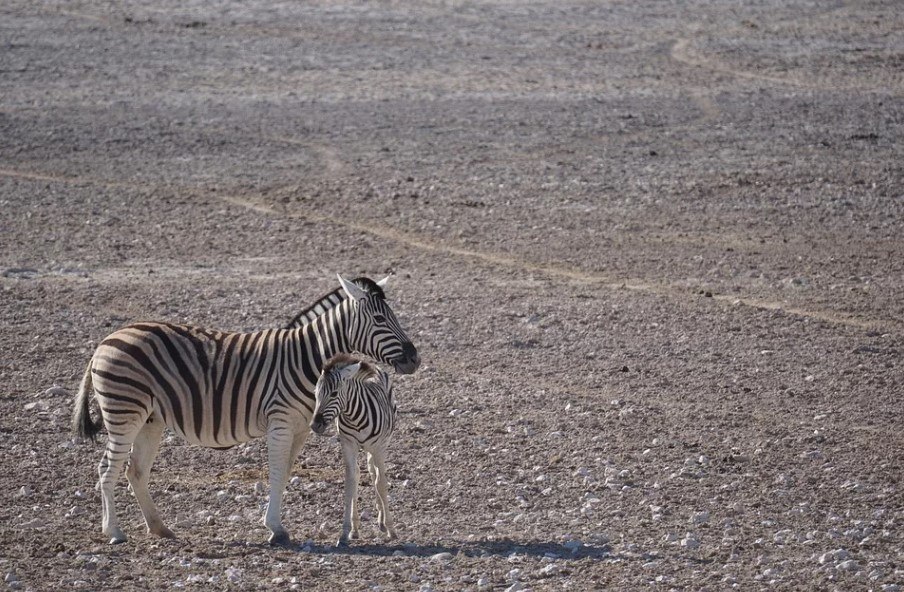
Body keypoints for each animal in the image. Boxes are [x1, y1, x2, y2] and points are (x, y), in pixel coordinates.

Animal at [310, 354, 396, 548]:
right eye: (315, 394)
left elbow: (381, 483)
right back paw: (358, 527)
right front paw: (346, 531)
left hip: (381, 445)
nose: (315, 425)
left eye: (334, 393)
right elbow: (351, 482)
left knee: (376, 476)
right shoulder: (348, 444)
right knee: (362, 474)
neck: (354, 417)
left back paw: (382, 520)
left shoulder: (378, 448)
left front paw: (391, 528)